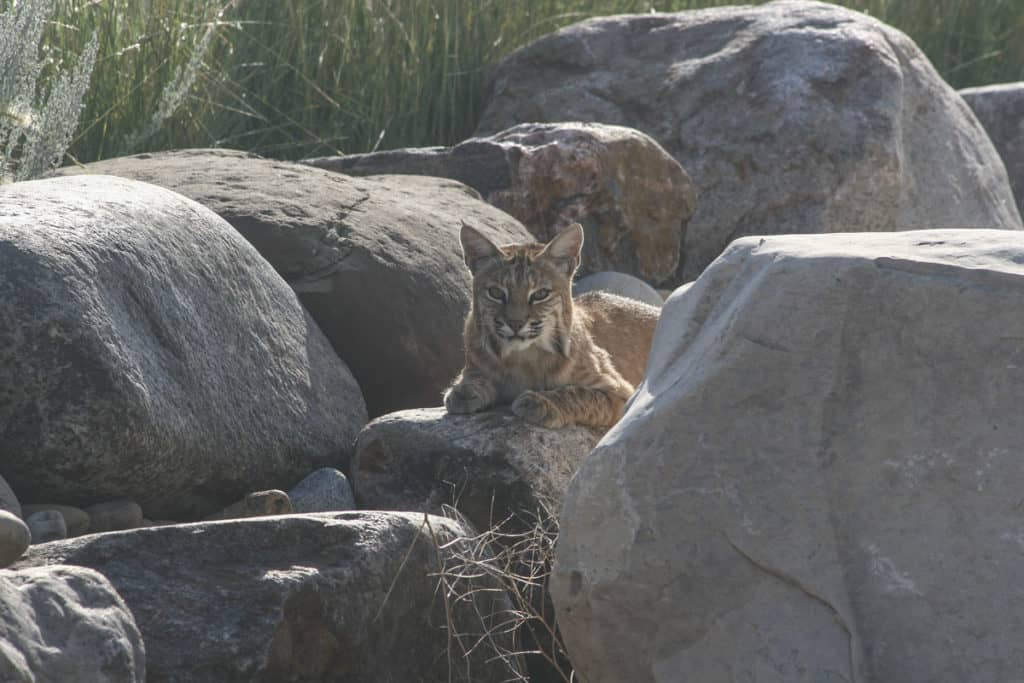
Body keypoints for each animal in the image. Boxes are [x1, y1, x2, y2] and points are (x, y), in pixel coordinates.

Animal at [444, 222, 659, 430]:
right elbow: (474, 374)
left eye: (540, 295)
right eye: (496, 293)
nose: (515, 323)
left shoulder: (620, 393)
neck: (522, 356)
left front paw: (542, 402)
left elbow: (577, 393)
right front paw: (464, 390)